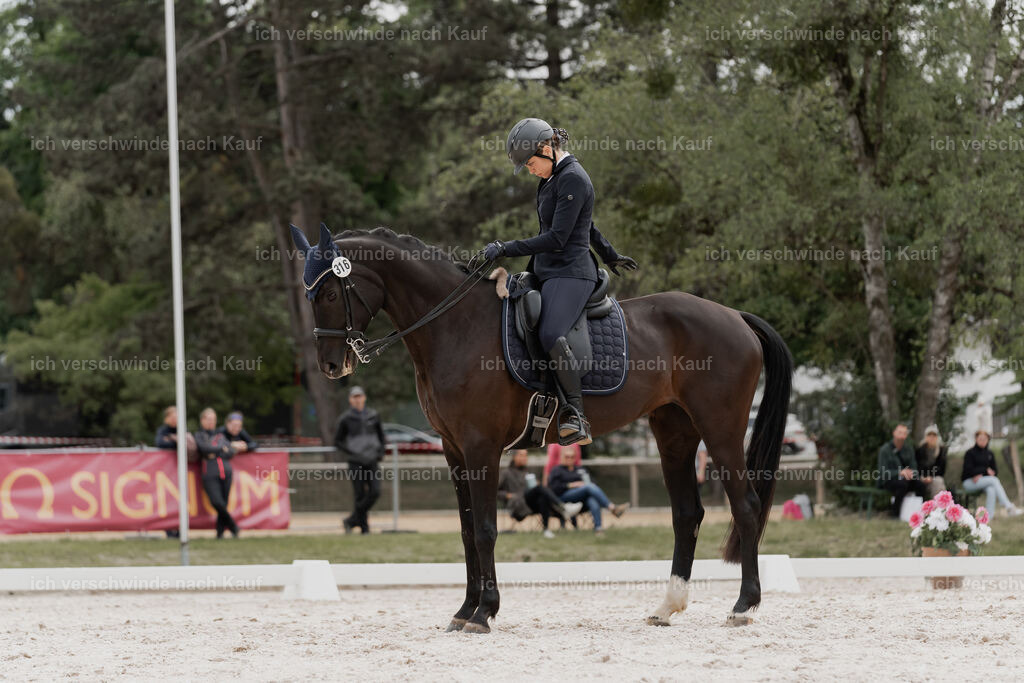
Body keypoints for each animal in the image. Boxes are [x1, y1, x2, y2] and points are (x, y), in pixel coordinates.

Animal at [290, 224, 792, 633]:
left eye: (330, 294)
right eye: (310, 297)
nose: (332, 366)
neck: (454, 325)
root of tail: (733, 315)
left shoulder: (481, 447)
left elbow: (486, 529)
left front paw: (484, 612)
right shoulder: (453, 450)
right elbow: (466, 531)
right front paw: (464, 610)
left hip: (720, 429)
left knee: (746, 506)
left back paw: (744, 606)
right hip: (674, 433)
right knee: (687, 514)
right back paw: (667, 607)